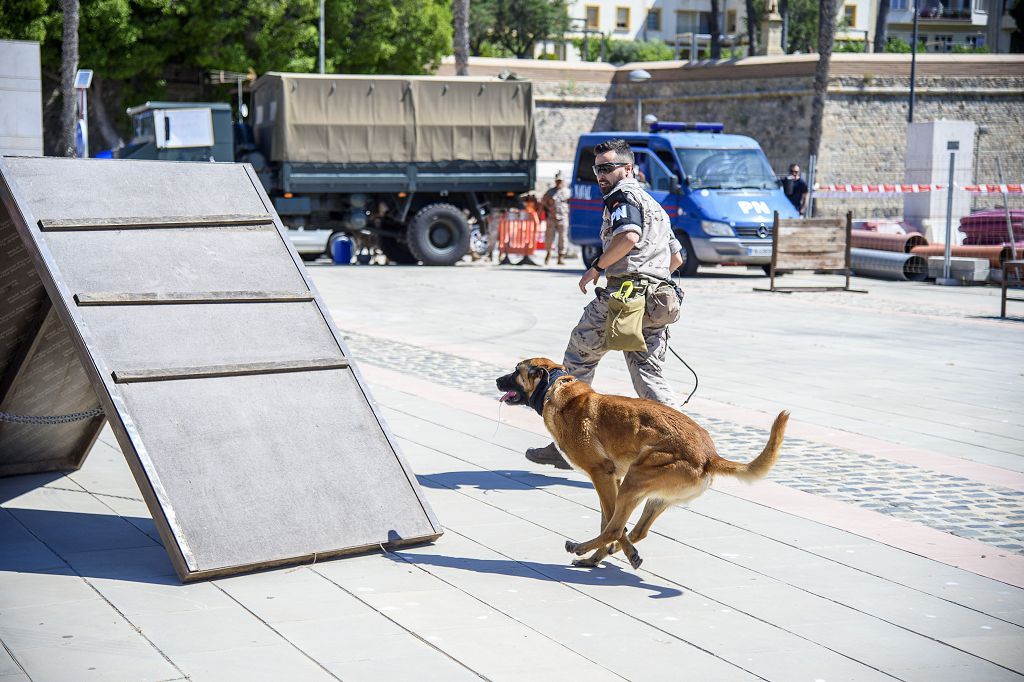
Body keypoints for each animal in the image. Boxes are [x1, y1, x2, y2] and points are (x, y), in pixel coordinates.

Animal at [497, 356, 790, 569]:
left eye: (516, 370)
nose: (497, 380)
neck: (556, 388)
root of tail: (709, 456)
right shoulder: (612, 479)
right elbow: (610, 522)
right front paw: (615, 554)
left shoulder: (602, 475)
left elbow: (611, 523)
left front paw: (611, 551)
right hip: (650, 494)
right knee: (636, 530)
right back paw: (598, 557)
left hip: (634, 481)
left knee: (616, 528)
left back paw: (582, 548)